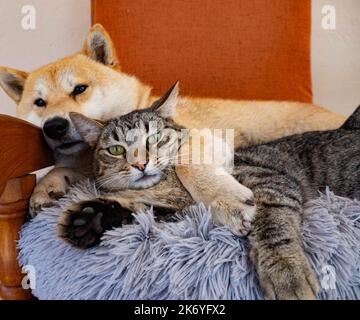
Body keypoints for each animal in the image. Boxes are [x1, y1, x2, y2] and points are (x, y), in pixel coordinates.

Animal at [0, 23, 346, 235]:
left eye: (80, 89)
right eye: (39, 103)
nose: (54, 126)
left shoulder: (201, 140)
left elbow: (188, 165)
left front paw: (225, 200)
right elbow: (60, 169)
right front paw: (47, 188)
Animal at [57, 83, 360, 300]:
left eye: (154, 138)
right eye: (116, 149)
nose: (140, 163)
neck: (163, 188)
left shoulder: (263, 177)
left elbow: (271, 226)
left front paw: (286, 272)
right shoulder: (179, 213)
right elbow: (140, 211)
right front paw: (89, 219)